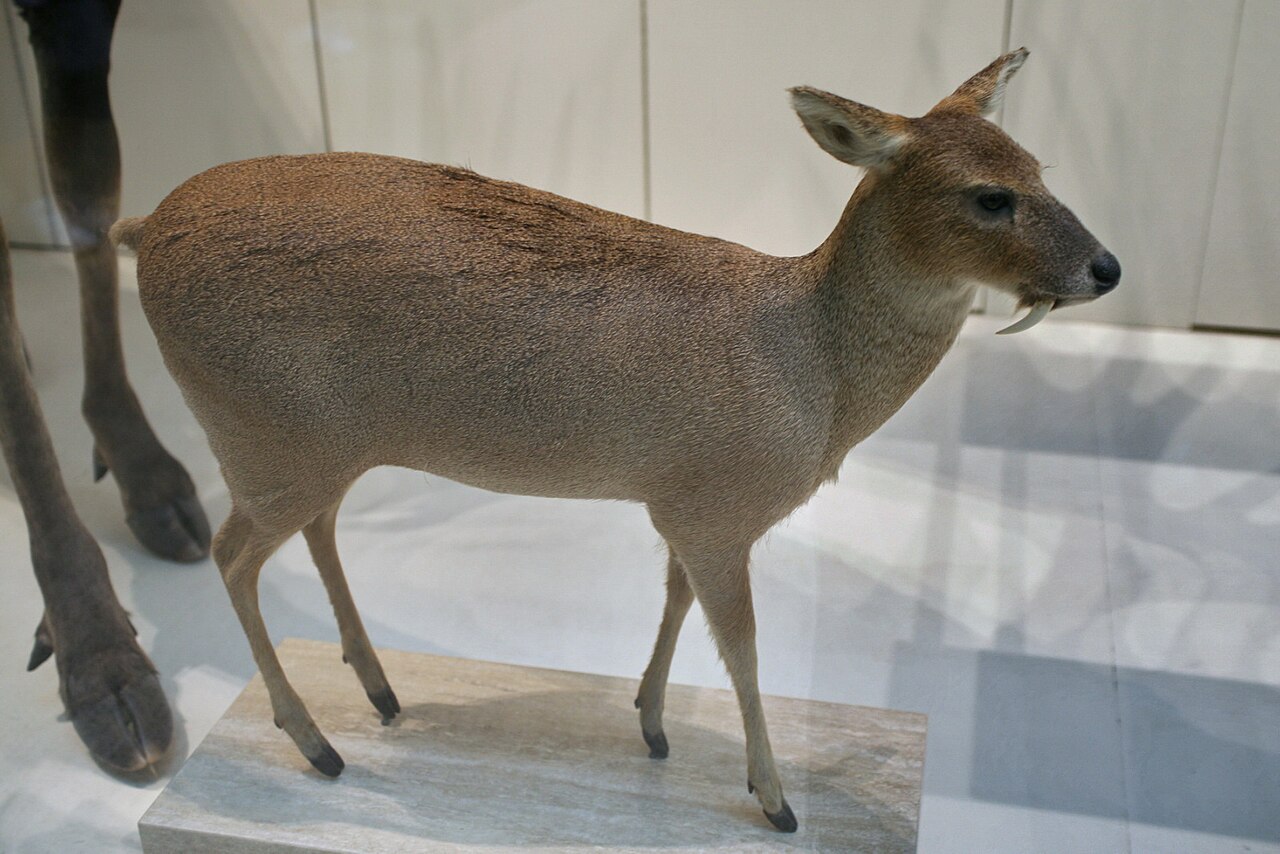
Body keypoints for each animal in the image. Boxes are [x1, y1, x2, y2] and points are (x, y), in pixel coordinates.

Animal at [112, 48, 1117, 831]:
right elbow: (743, 647)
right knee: (231, 554)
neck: (810, 369)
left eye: (1041, 167)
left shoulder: (680, 502)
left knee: (313, 534)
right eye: (989, 197)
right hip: (260, 437)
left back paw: (380, 691)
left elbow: (673, 600)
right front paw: (775, 799)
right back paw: (319, 745)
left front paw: (652, 722)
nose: (1105, 267)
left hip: (316, 446)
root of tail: (141, 227)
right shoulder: (719, 511)